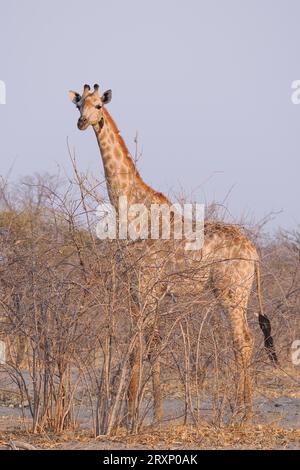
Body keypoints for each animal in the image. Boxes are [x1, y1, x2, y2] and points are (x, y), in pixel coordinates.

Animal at [69, 82, 278, 424]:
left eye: (99, 105)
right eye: (78, 105)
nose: (82, 122)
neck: (132, 209)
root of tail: (255, 254)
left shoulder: (145, 284)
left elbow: (139, 344)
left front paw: (131, 417)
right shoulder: (143, 289)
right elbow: (151, 344)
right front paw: (150, 414)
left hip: (231, 292)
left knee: (243, 341)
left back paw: (242, 413)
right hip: (240, 293)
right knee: (245, 340)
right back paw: (242, 410)